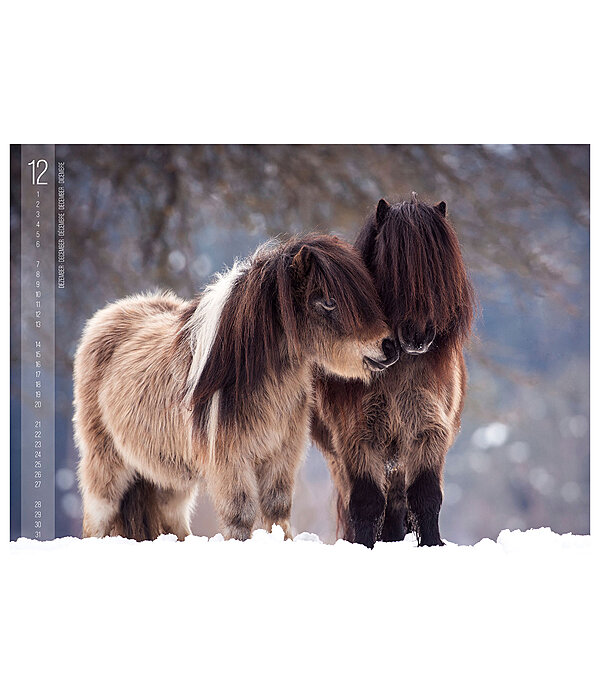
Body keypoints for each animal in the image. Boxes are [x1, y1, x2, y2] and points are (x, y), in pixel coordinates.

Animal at [74, 233, 399, 542]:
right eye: (329, 301)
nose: (389, 346)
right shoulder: (230, 462)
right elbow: (239, 517)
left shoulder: (281, 455)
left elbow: (277, 511)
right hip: (106, 464)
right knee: (98, 518)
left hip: (169, 475)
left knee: (173, 521)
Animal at [311, 197, 475, 547]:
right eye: (391, 264)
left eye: (436, 266)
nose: (417, 335)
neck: (400, 372)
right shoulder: (358, 440)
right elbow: (366, 503)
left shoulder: (428, 434)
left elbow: (426, 498)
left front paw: (432, 544)